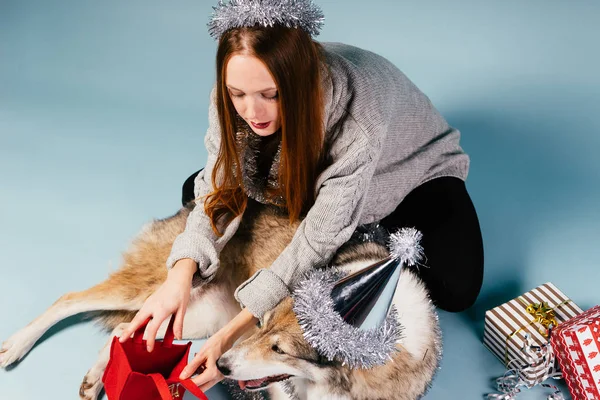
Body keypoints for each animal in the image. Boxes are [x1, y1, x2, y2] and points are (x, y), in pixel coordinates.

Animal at [0, 198, 440, 398]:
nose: (222, 365)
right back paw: (15, 347)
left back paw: (95, 380)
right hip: (159, 291)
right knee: (70, 298)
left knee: (125, 330)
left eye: (280, 349)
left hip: (198, 319)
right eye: (262, 323)